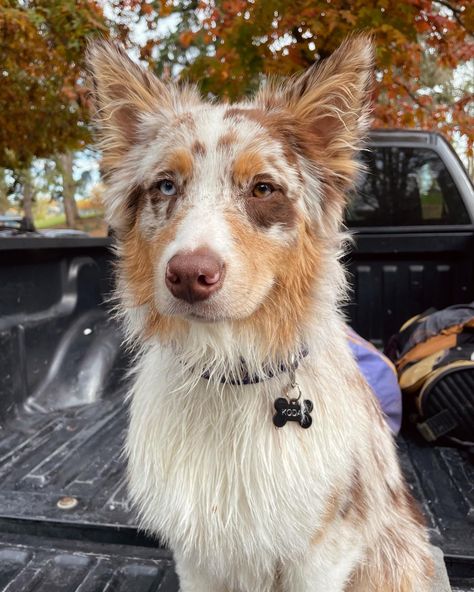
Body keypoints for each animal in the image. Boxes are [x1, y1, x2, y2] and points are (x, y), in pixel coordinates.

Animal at [88, 34, 434, 588]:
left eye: (263, 188)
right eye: (166, 185)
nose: (189, 275)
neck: (229, 367)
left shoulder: (323, 552)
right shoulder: (196, 555)